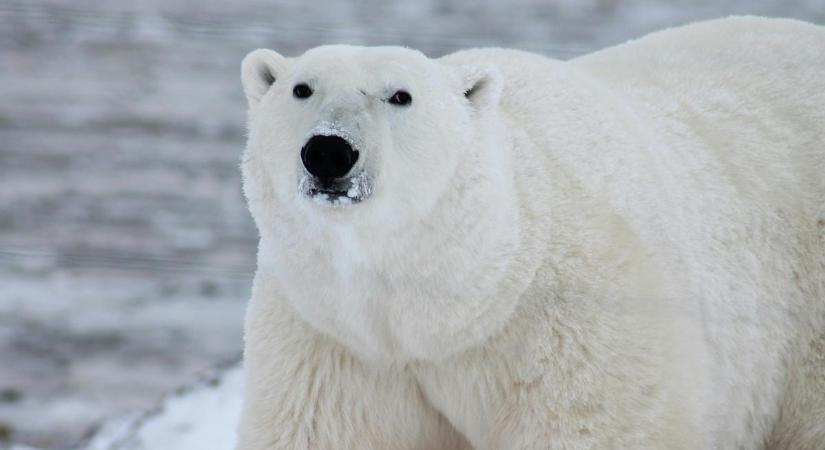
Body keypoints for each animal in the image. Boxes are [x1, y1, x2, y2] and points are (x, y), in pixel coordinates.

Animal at [235, 16, 820, 450]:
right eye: (301, 88)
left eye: (400, 96)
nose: (328, 152)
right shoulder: (334, 339)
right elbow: (325, 430)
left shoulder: (575, 322)